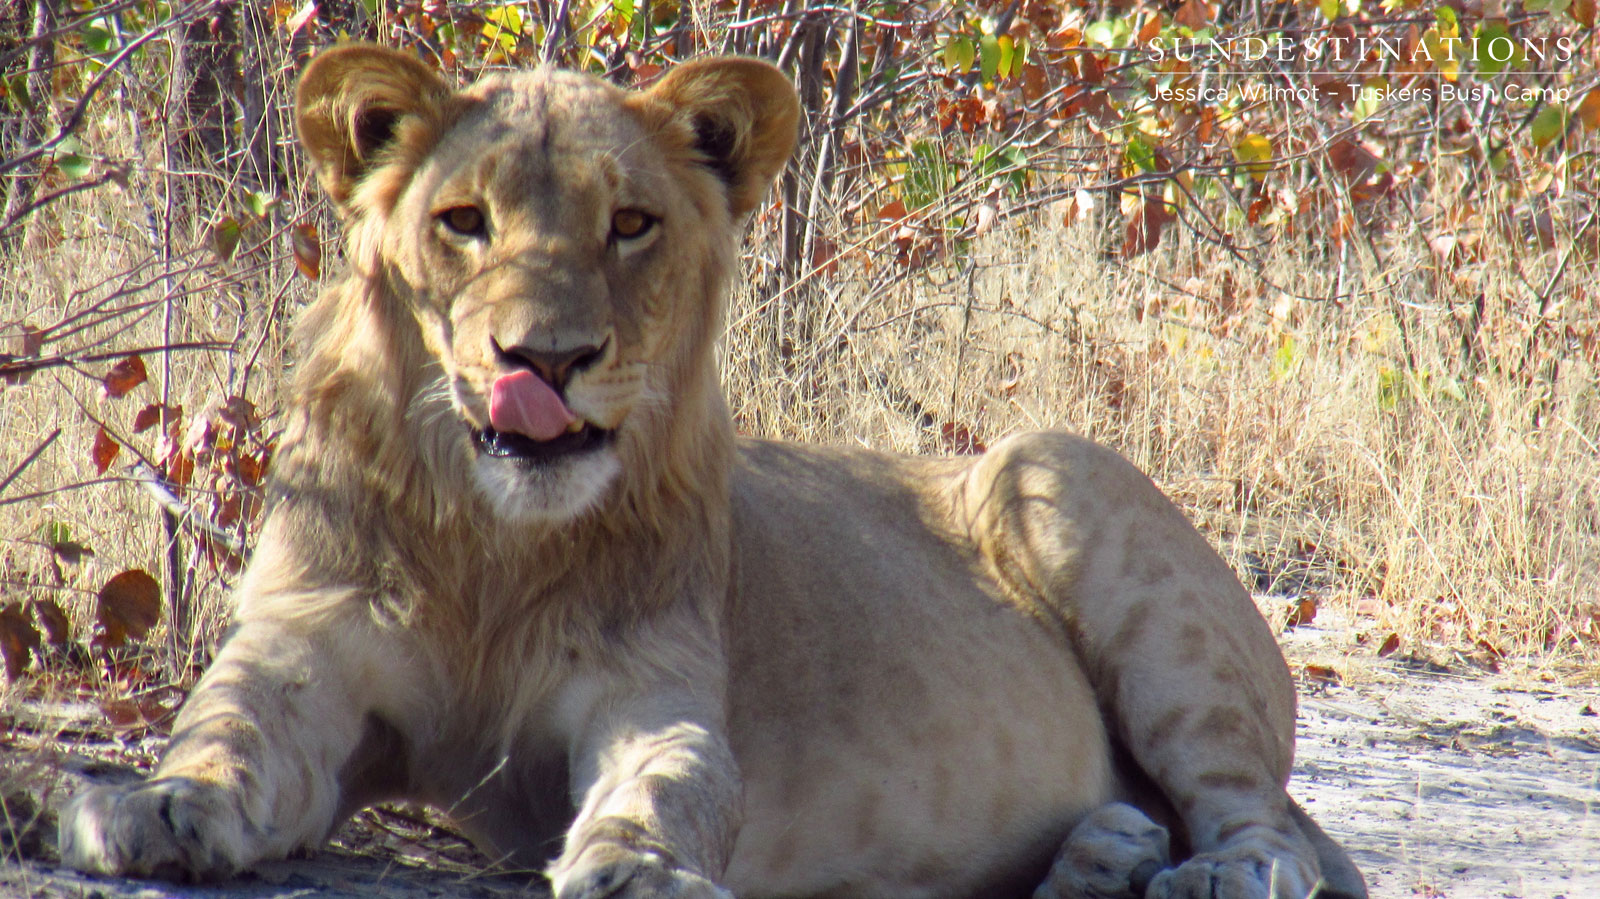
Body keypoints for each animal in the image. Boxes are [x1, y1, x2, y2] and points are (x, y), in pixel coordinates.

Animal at [59, 46, 1365, 899]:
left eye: (631, 223)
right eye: (463, 222)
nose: (546, 358)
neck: (493, 544)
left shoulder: (655, 688)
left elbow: (672, 781)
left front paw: (638, 869)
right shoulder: (309, 644)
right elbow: (224, 721)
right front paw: (152, 805)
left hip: (1054, 467)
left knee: (1272, 825)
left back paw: (1207, 873)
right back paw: (1106, 855)